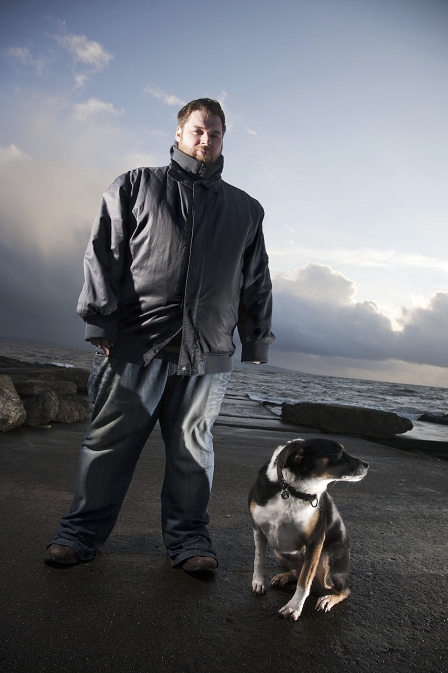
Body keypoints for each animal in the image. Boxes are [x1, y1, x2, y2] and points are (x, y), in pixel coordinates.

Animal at [248, 436, 368, 620]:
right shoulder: (258, 530)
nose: (367, 464)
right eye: (338, 453)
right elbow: (258, 559)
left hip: (326, 562)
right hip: (280, 552)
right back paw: (284, 576)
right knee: (297, 571)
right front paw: (258, 583)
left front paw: (293, 608)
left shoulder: (315, 542)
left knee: (344, 591)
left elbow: (304, 582)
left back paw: (328, 599)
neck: (293, 491)